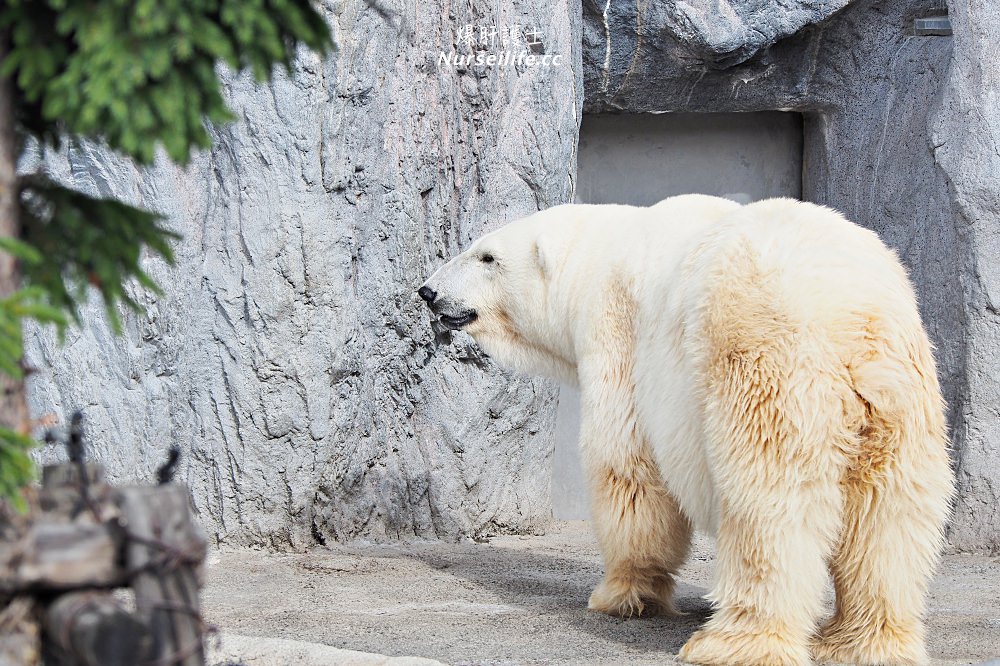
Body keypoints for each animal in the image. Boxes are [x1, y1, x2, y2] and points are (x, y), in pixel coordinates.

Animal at [418, 193, 956, 664]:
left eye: (486, 256)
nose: (427, 291)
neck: (600, 256)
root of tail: (854, 320)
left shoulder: (620, 337)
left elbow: (628, 467)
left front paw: (620, 594)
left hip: (765, 363)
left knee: (770, 505)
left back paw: (731, 643)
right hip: (899, 396)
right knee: (888, 515)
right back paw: (862, 642)